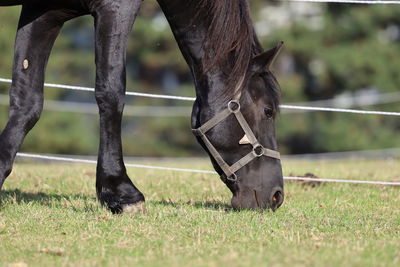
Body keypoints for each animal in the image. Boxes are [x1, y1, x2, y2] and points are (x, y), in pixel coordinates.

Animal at [0, 0, 284, 214]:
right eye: (268, 111)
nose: (277, 196)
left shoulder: (42, 10)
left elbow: (28, 101)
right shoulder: (116, 6)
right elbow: (111, 92)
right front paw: (122, 193)